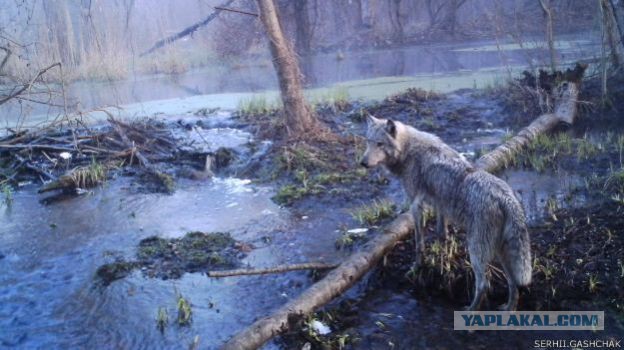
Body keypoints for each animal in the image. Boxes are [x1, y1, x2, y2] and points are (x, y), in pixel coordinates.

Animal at [360, 116, 532, 310]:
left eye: (380, 144)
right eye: (368, 142)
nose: (363, 163)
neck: (408, 150)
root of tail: (507, 198)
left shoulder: (416, 206)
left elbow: (419, 244)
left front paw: (417, 268)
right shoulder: (440, 205)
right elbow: (441, 234)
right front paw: (443, 259)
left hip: (477, 251)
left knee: (484, 284)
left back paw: (470, 312)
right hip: (501, 253)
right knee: (513, 285)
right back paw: (508, 310)